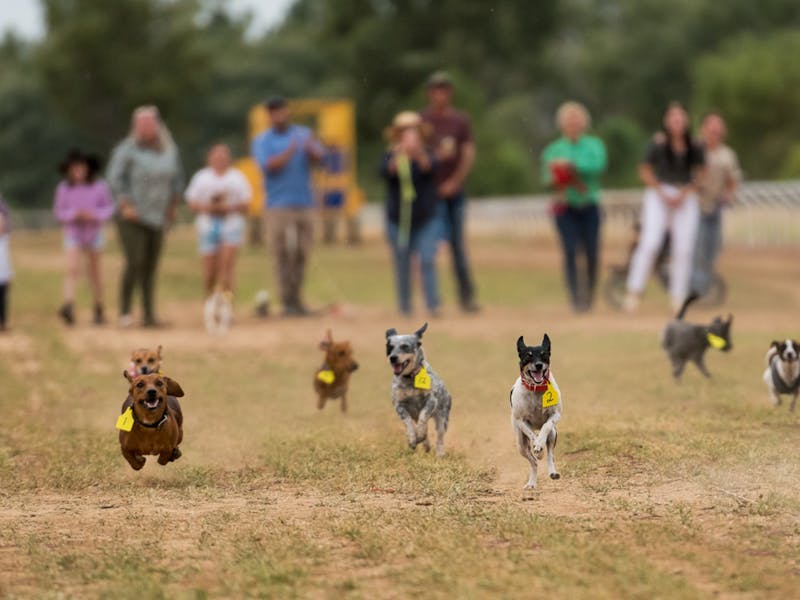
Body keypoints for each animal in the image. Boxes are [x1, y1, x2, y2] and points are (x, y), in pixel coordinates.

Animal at [386, 324, 450, 454]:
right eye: (390, 347)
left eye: (405, 346)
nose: (392, 358)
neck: (410, 378)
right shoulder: (399, 405)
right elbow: (408, 422)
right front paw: (412, 440)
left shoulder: (431, 401)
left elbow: (423, 416)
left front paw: (420, 434)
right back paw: (425, 444)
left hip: (443, 417)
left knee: (440, 437)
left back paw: (440, 453)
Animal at [512, 336, 564, 490]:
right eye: (528, 356)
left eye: (544, 354)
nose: (539, 365)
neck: (536, 389)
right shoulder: (520, 420)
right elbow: (531, 435)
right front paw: (537, 445)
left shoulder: (555, 415)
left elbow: (546, 426)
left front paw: (540, 443)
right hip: (520, 444)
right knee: (533, 462)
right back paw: (531, 482)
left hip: (553, 434)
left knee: (550, 455)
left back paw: (552, 472)